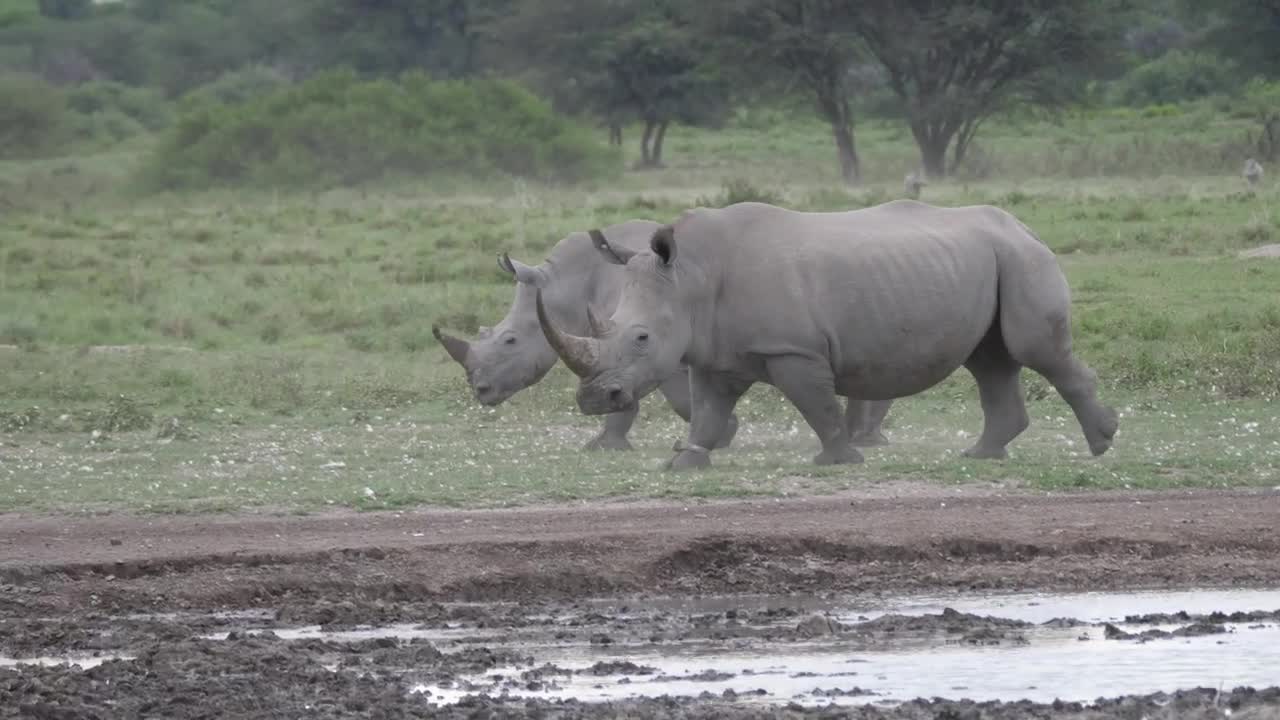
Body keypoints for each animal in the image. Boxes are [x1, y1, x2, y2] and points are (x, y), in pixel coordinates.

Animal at [433, 221, 892, 451]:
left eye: (509, 340)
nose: (480, 391)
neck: (568, 284)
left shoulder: (649, 338)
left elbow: (664, 394)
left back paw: (864, 439)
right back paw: (868, 438)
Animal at [536, 200, 1118, 471]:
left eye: (640, 338)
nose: (594, 400)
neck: (691, 277)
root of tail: (1025, 227)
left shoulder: (794, 350)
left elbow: (816, 403)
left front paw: (839, 460)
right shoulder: (714, 354)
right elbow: (709, 410)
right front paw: (686, 462)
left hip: (1021, 260)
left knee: (1034, 350)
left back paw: (1101, 443)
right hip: (989, 261)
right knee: (989, 359)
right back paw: (980, 455)